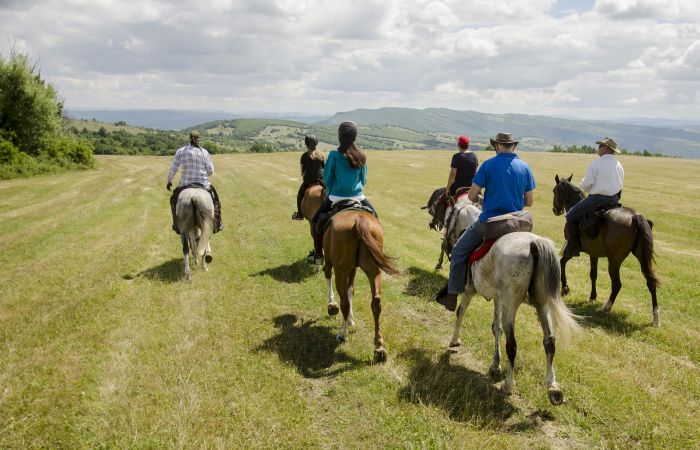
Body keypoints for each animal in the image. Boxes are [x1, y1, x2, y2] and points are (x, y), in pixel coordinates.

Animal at [322, 210, 400, 362]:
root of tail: (359, 220)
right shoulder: (353, 268)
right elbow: (351, 289)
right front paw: (351, 320)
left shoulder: (330, 262)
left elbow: (331, 278)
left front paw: (332, 306)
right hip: (374, 270)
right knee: (376, 302)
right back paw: (379, 348)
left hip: (341, 270)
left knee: (344, 302)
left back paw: (343, 334)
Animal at [552, 173, 660, 326]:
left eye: (554, 191)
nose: (555, 209)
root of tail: (634, 217)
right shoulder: (593, 254)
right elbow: (593, 274)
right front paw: (592, 297)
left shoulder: (571, 249)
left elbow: (562, 262)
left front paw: (565, 288)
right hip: (642, 257)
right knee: (651, 283)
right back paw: (656, 317)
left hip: (614, 260)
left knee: (617, 284)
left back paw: (606, 307)